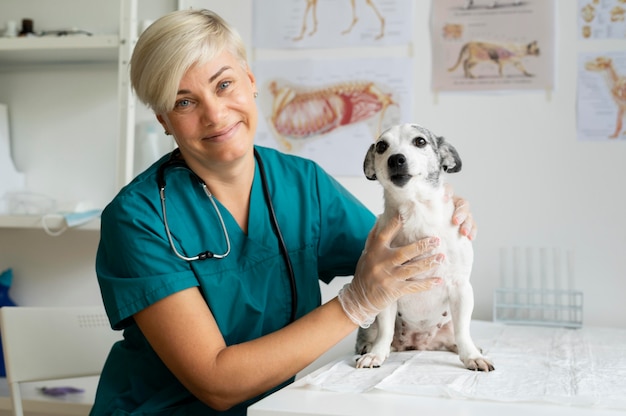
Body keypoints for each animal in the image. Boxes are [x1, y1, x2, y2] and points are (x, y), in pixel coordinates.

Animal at [356, 122, 492, 370]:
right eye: (381, 146)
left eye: (420, 141)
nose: (396, 159)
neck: (416, 212)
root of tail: (420, 344)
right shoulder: (386, 292)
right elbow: (385, 331)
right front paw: (376, 354)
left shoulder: (461, 288)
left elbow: (463, 331)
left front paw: (471, 356)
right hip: (371, 322)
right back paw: (372, 349)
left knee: (457, 335)